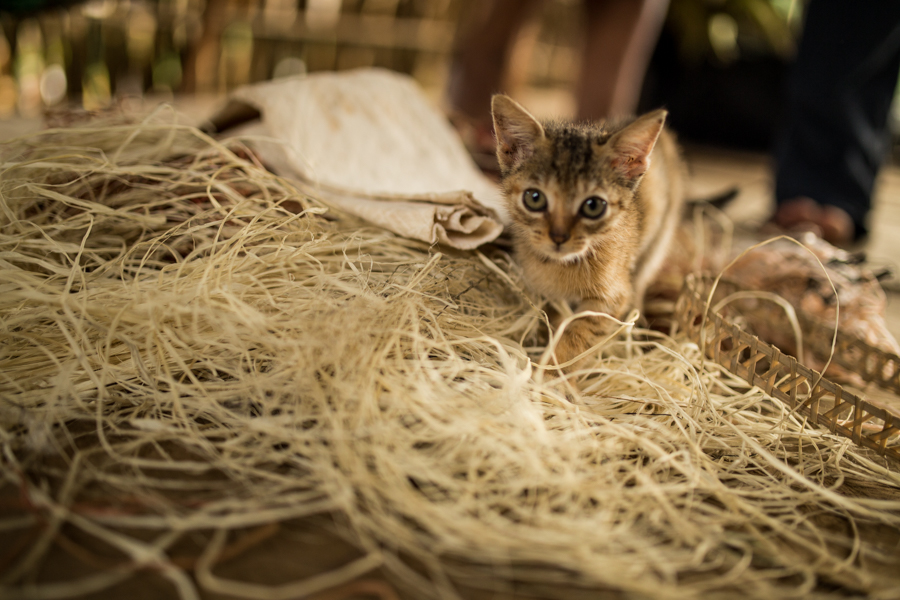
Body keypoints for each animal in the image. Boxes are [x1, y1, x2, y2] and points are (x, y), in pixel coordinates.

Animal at [491, 94, 685, 368]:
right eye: (534, 198)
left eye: (593, 206)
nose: (559, 237)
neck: (561, 266)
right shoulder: (545, 292)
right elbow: (554, 318)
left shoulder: (612, 298)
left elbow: (578, 337)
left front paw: (551, 373)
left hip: (657, 243)